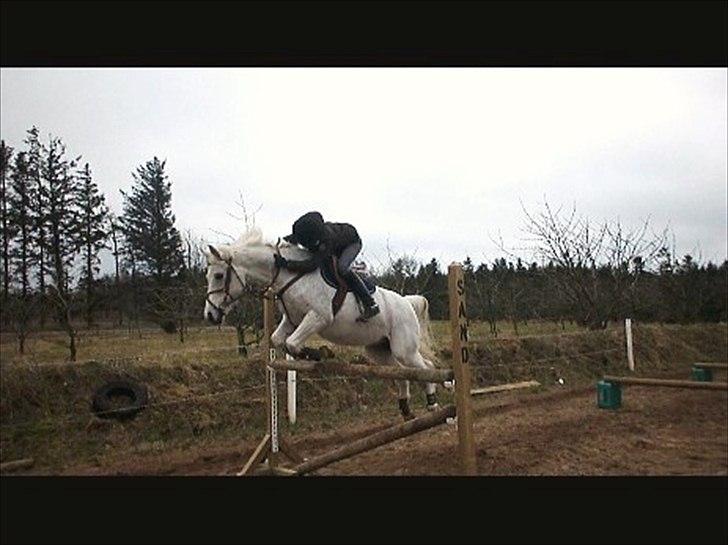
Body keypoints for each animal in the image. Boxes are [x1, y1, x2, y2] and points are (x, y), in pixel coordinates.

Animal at [205, 225, 444, 416]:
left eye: (218, 276)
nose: (210, 315)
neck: (289, 274)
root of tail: (407, 302)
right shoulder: (291, 321)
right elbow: (279, 341)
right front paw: (314, 354)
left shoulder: (319, 316)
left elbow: (291, 343)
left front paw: (319, 353)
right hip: (379, 350)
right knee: (401, 372)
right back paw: (405, 408)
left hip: (404, 348)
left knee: (426, 367)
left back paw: (432, 402)